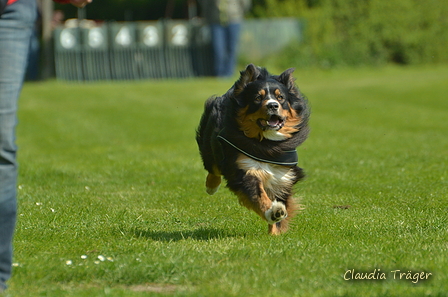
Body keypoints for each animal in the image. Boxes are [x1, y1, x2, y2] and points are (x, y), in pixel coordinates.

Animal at [197, 64, 312, 234]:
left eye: (280, 98)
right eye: (258, 98)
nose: (273, 105)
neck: (267, 143)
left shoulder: (282, 176)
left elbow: (279, 206)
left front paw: (275, 233)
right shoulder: (244, 167)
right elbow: (258, 194)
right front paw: (273, 211)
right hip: (209, 145)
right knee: (213, 166)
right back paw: (211, 187)